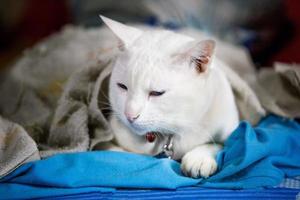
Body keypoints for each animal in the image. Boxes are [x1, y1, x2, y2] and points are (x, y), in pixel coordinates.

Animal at [101, 16, 239, 178]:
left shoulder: (231, 129)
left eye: (156, 93)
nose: (130, 115)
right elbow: (113, 150)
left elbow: (220, 144)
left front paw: (199, 158)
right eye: (122, 86)